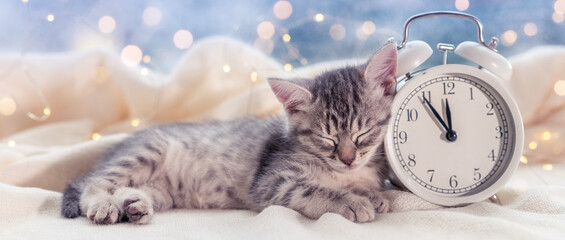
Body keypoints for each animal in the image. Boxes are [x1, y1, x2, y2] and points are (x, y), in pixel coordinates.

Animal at [60, 42, 396, 224]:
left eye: (363, 132)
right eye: (326, 138)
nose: (348, 159)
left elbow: (362, 184)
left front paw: (375, 194)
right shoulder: (271, 183)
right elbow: (312, 190)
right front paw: (351, 202)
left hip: (163, 191)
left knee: (127, 189)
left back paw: (134, 206)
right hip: (144, 153)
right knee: (92, 183)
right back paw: (103, 205)